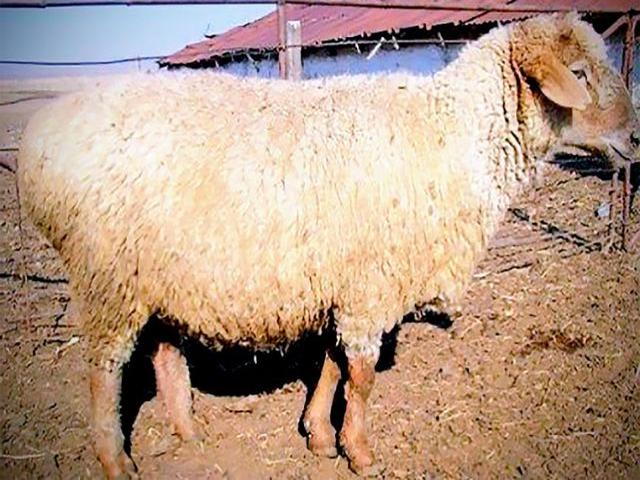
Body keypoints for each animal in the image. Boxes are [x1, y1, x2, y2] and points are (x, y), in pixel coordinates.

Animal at [17, 12, 638, 479]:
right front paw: (359, 451)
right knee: (105, 370)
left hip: (158, 276)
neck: (451, 134)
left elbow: (332, 367)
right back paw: (114, 459)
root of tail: (41, 140)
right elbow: (360, 377)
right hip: (107, 276)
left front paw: (318, 434)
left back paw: (190, 433)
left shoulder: (347, 285)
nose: (635, 137)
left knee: (166, 355)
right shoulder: (369, 286)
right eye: (578, 73)